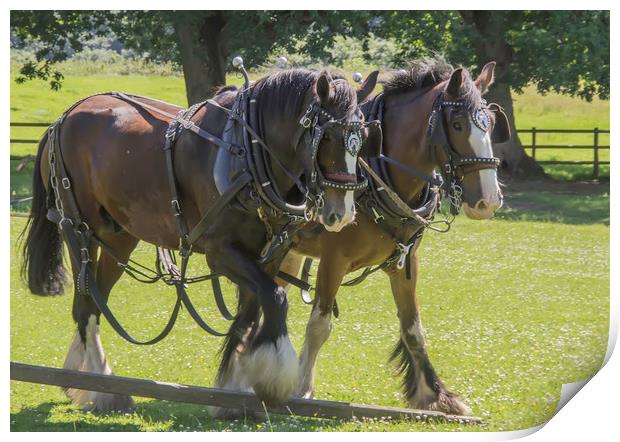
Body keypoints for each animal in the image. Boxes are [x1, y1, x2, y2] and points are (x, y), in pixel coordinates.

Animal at [23, 68, 378, 410]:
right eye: (327, 135)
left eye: (363, 138)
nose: (341, 212)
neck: (246, 152)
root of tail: (63, 118)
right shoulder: (221, 252)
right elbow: (275, 299)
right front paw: (273, 380)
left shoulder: (270, 253)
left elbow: (250, 315)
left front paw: (231, 392)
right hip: (78, 229)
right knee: (85, 307)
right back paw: (104, 390)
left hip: (120, 237)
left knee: (97, 301)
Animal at [274, 57, 508, 414]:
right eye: (457, 124)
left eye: (492, 123)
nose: (489, 200)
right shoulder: (333, 260)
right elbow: (319, 325)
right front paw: (302, 389)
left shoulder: (405, 263)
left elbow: (413, 329)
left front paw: (435, 394)